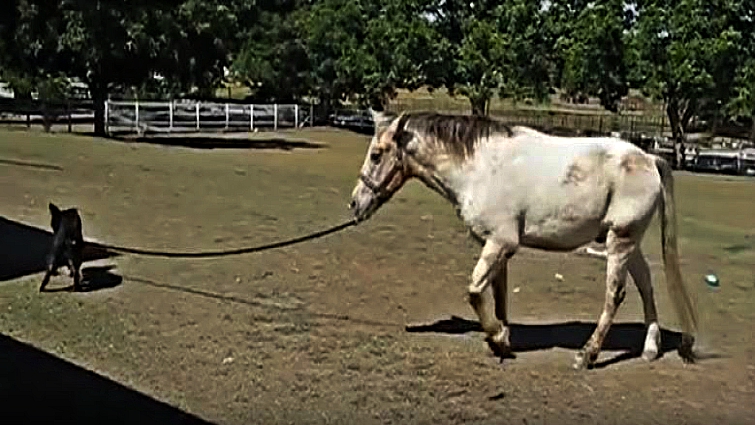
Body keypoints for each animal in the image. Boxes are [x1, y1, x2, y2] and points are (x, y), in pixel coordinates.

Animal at [348, 110, 698, 370]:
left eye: (376, 155)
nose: (354, 204)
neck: (480, 168)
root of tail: (650, 159)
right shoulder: (496, 246)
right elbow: (498, 293)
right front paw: (502, 338)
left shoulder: (501, 242)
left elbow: (475, 290)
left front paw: (499, 339)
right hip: (628, 241)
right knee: (646, 283)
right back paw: (650, 348)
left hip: (620, 241)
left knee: (615, 294)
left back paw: (588, 355)